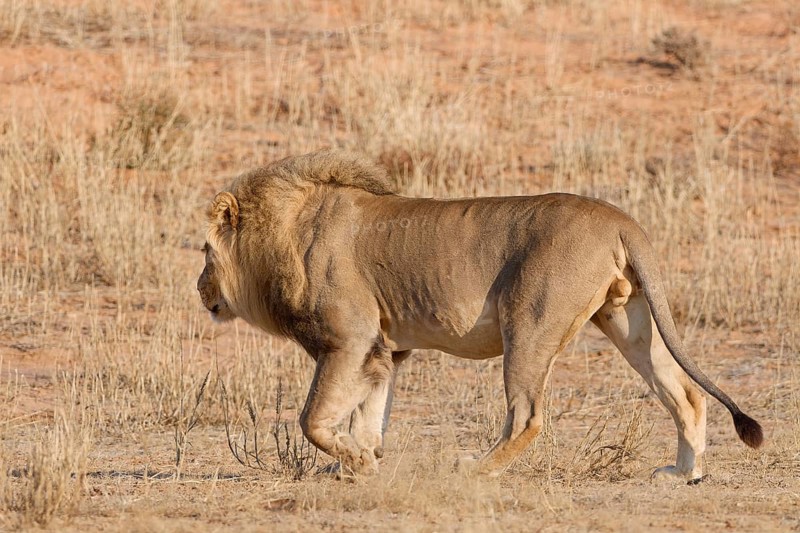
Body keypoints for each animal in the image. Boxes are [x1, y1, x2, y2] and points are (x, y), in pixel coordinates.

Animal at [197, 148, 763, 481]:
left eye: (203, 252)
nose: (199, 288)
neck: (283, 235)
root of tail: (621, 219)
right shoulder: (384, 351)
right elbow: (367, 414)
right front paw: (363, 465)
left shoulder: (350, 339)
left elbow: (313, 419)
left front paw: (355, 463)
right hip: (628, 321)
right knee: (685, 393)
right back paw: (683, 474)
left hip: (529, 323)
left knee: (527, 416)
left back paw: (475, 469)